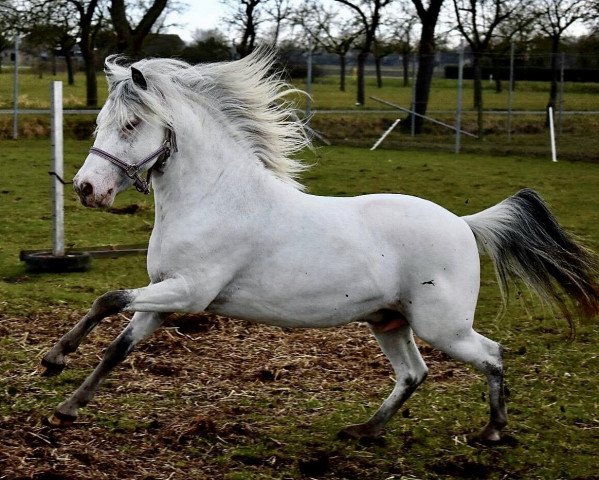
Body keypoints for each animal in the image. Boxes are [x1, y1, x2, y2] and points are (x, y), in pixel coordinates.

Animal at [39, 49, 596, 442]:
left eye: (131, 124)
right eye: (99, 124)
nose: (87, 189)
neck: (213, 197)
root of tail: (463, 222)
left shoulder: (189, 293)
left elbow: (107, 299)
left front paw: (55, 361)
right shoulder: (164, 296)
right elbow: (118, 343)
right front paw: (65, 399)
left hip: (443, 326)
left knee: (492, 353)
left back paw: (494, 431)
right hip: (389, 322)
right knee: (414, 374)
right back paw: (364, 430)